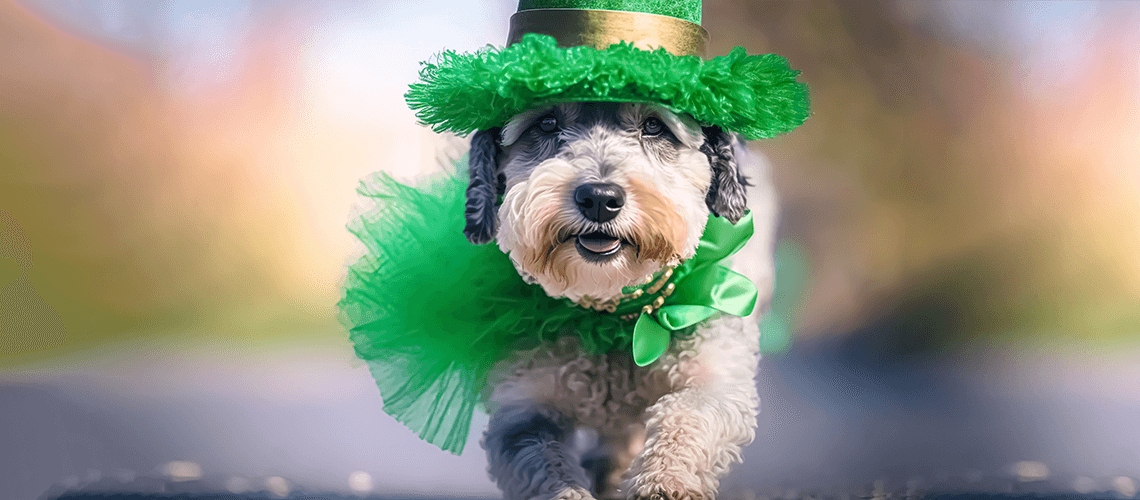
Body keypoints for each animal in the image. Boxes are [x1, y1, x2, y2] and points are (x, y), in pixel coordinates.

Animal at [460, 100, 775, 500]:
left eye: (654, 126)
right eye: (546, 123)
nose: (599, 198)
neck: (614, 309)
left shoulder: (716, 380)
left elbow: (686, 417)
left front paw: (661, 483)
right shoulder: (521, 408)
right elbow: (543, 465)